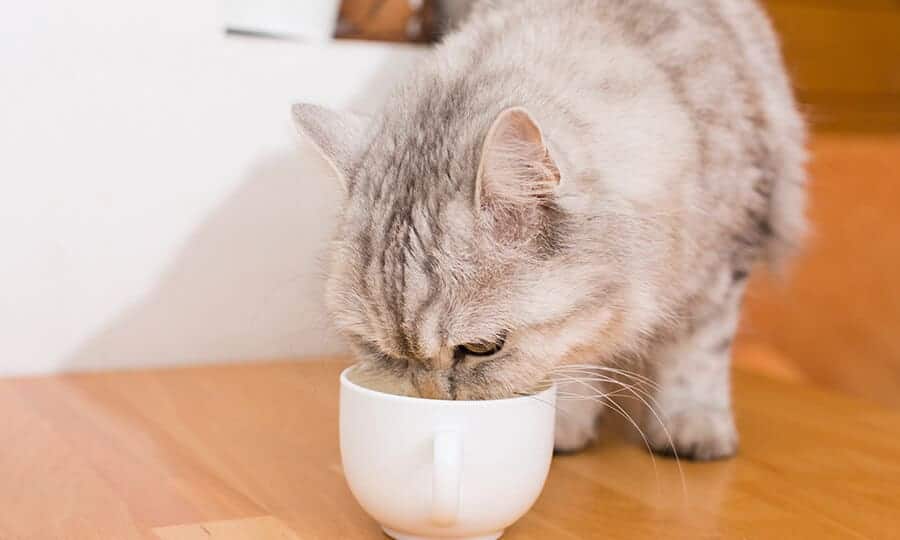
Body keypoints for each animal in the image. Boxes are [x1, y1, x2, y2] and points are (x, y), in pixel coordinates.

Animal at [294, 0, 808, 460]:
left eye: (481, 348)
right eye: (379, 350)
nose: (431, 399)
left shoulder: (724, 258)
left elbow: (697, 354)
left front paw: (694, 426)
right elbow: (575, 358)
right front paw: (567, 425)